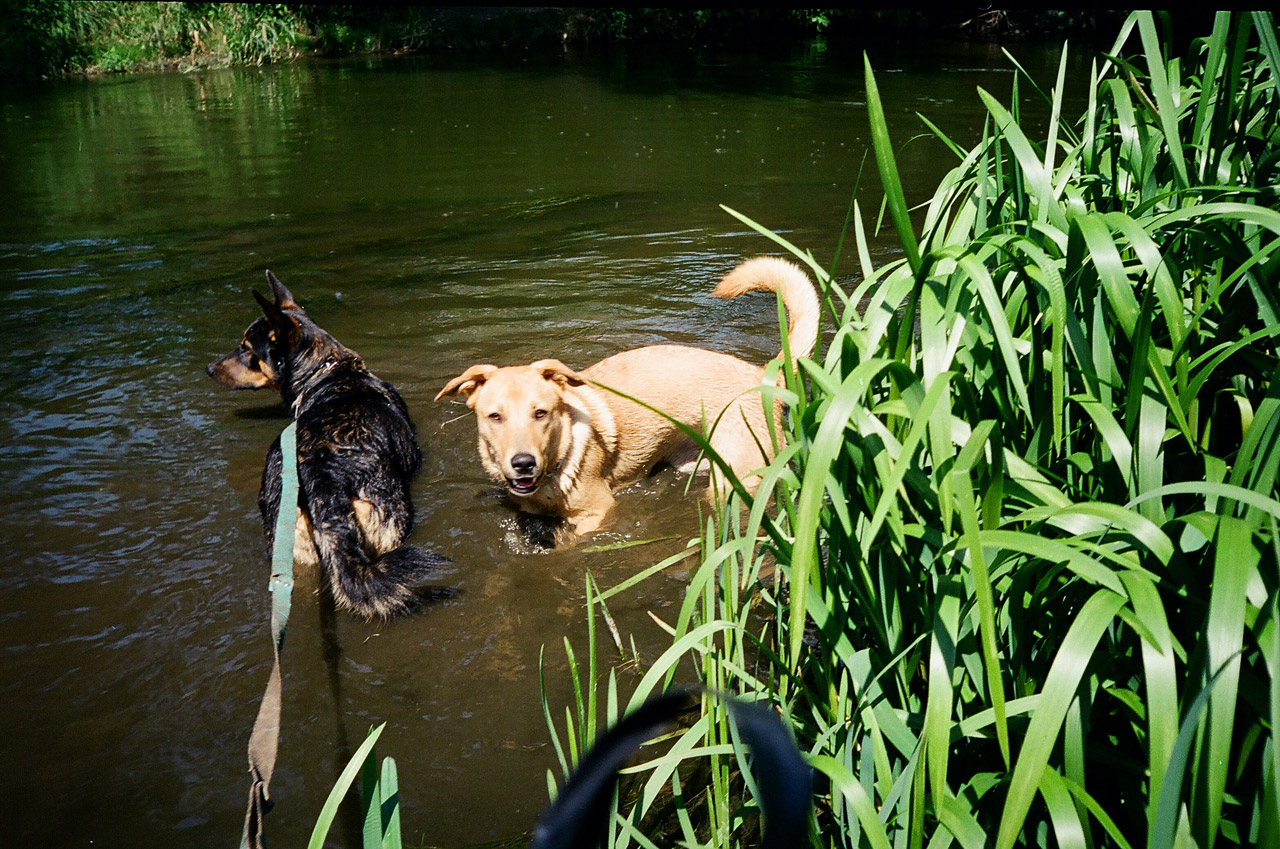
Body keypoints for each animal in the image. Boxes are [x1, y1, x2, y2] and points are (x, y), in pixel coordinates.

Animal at [437, 256, 819, 540]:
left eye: (540, 413)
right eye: (495, 416)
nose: (523, 463)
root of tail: (760, 374)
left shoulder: (599, 511)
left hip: (735, 481)